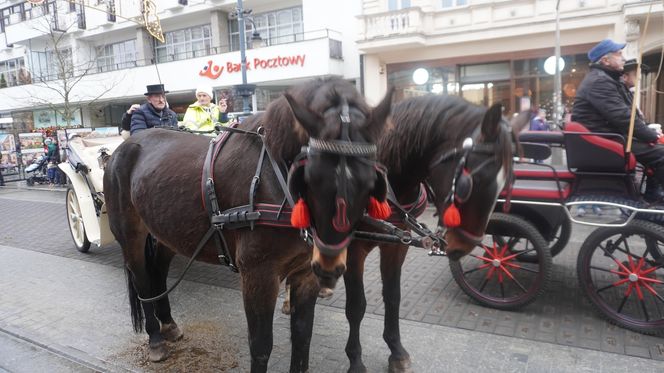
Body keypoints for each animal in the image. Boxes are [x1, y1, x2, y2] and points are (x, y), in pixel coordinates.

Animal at [104, 77, 392, 370]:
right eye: (310, 176)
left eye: (372, 181)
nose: (329, 267)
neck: (273, 174)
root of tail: (124, 148)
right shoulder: (258, 275)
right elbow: (261, 346)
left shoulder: (305, 274)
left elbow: (302, 338)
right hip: (131, 235)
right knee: (142, 280)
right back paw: (155, 339)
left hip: (167, 233)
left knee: (159, 272)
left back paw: (169, 325)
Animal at [342, 94, 524, 370]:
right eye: (468, 183)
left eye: (506, 185)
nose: (463, 246)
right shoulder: (352, 249)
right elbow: (355, 306)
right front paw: (355, 359)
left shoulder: (397, 244)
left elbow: (393, 296)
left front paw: (396, 350)